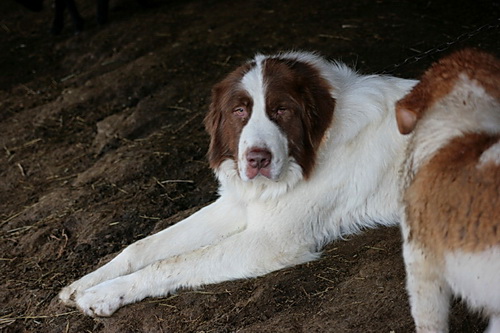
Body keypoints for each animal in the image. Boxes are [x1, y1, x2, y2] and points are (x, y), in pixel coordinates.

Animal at [58, 50, 418, 316]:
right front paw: (85, 283)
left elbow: (171, 262)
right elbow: (143, 246)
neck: (316, 147)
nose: (258, 160)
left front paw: (103, 295)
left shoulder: (271, 240)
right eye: (239, 111)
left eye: (282, 110)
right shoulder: (235, 204)